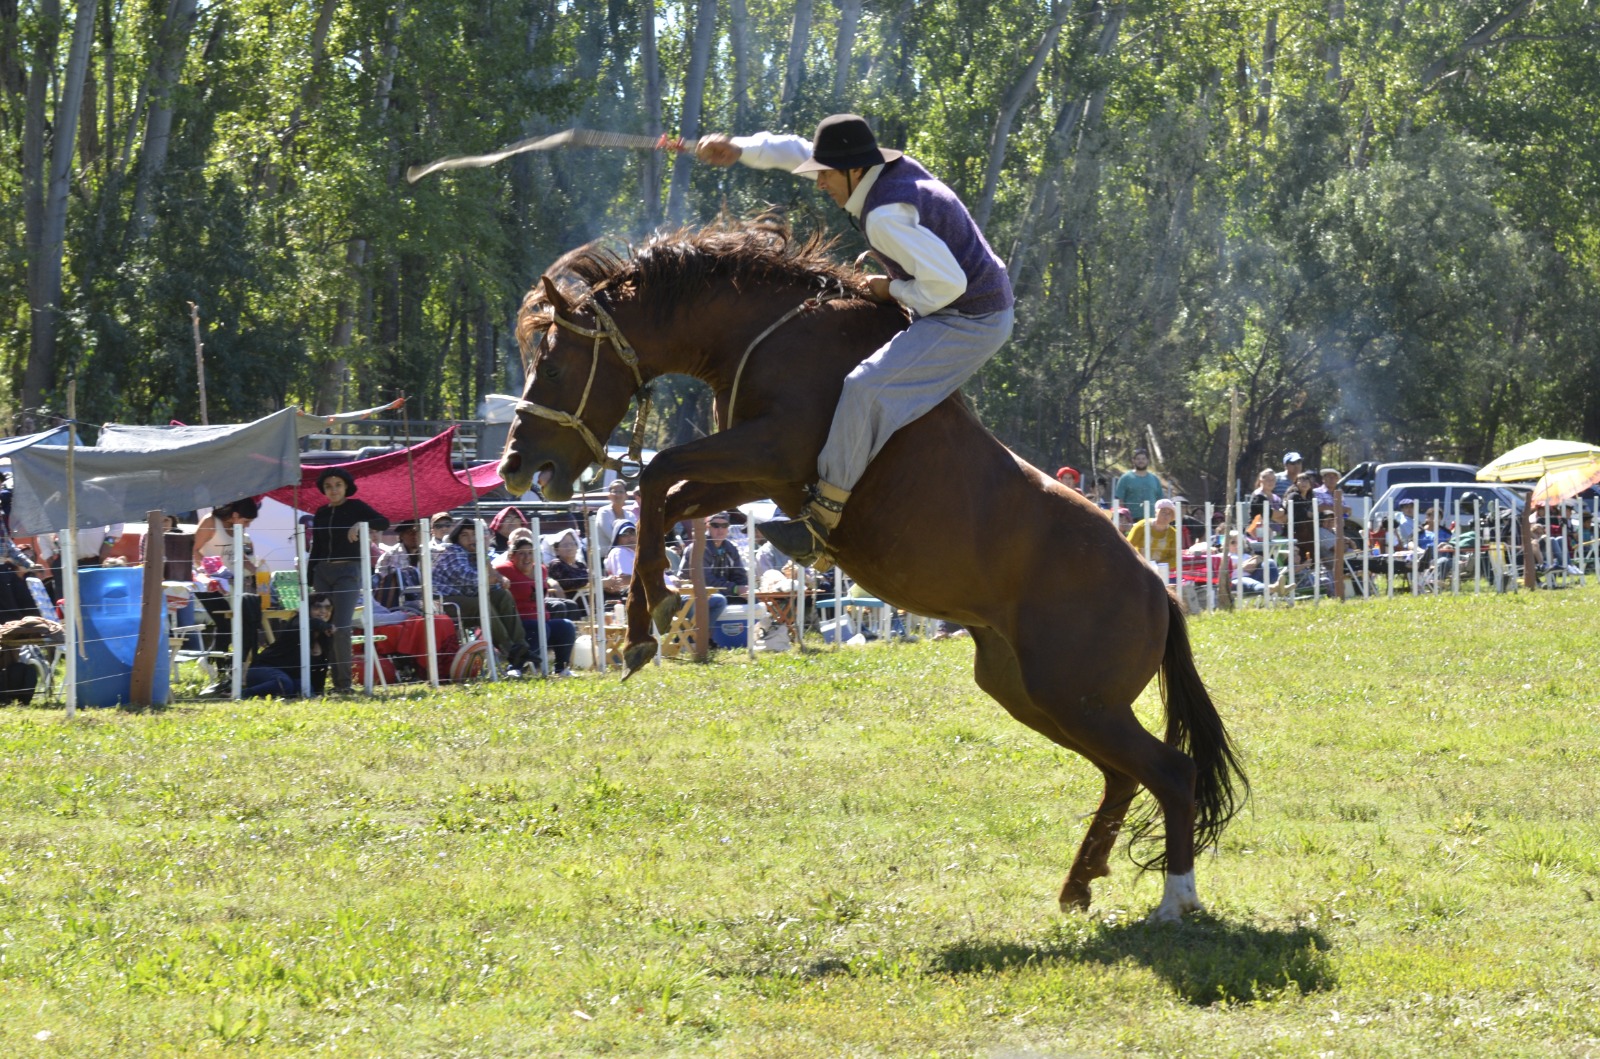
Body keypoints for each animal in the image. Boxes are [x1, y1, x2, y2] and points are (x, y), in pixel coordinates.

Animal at [499, 215, 1248, 921]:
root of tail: (1155, 588)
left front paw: (645, 618)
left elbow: (660, 473)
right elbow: (671, 494)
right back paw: (1078, 885)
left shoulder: (772, 451)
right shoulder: (755, 473)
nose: (515, 465)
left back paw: (1176, 899)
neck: (769, 335)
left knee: (1170, 771)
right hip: (1035, 693)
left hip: (1078, 698)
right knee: (1124, 777)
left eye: (555, 365)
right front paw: (645, 615)